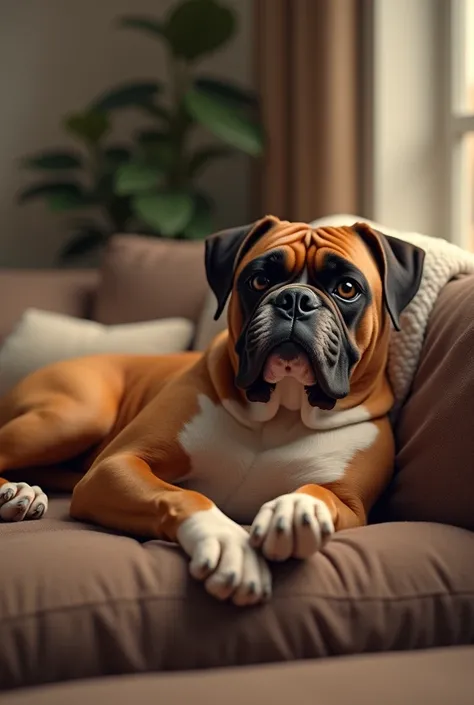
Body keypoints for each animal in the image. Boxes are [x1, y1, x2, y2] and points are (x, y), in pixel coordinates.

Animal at [0, 216, 424, 604]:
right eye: (259, 281)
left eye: (347, 288)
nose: (296, 299)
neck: (282, 412)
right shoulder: (116, 466)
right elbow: (183, 496)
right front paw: (227, 543)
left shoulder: (351, 505)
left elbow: (319, 493)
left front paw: (294, 510)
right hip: (76, 416)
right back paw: (18, 492)